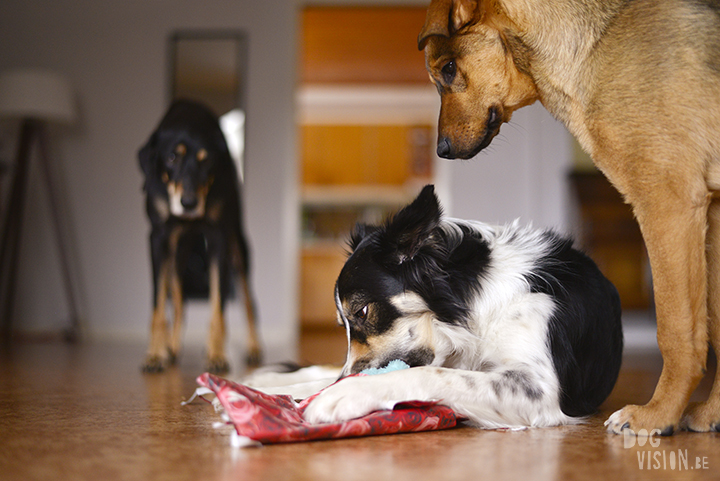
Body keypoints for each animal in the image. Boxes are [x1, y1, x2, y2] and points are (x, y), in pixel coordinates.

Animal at [139, 99, 262, 374]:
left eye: (206, 161)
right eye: (172, 157)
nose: (189, 203)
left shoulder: (219, 238)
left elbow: (218, 308)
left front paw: (216, 355)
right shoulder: (158, 238)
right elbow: (158, 307)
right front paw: (155, 353)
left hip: (238, 246)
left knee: (249, 301)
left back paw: (253, 348)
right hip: (176, 253)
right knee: (179, 301)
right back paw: (171, 348)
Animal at [416, 0, 720, 434]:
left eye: (448, 70)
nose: (440, 150)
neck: (597, 45)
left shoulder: (668, 202)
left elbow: (678, 329)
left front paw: (658, 415)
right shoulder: (711, 211)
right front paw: (711, 414)